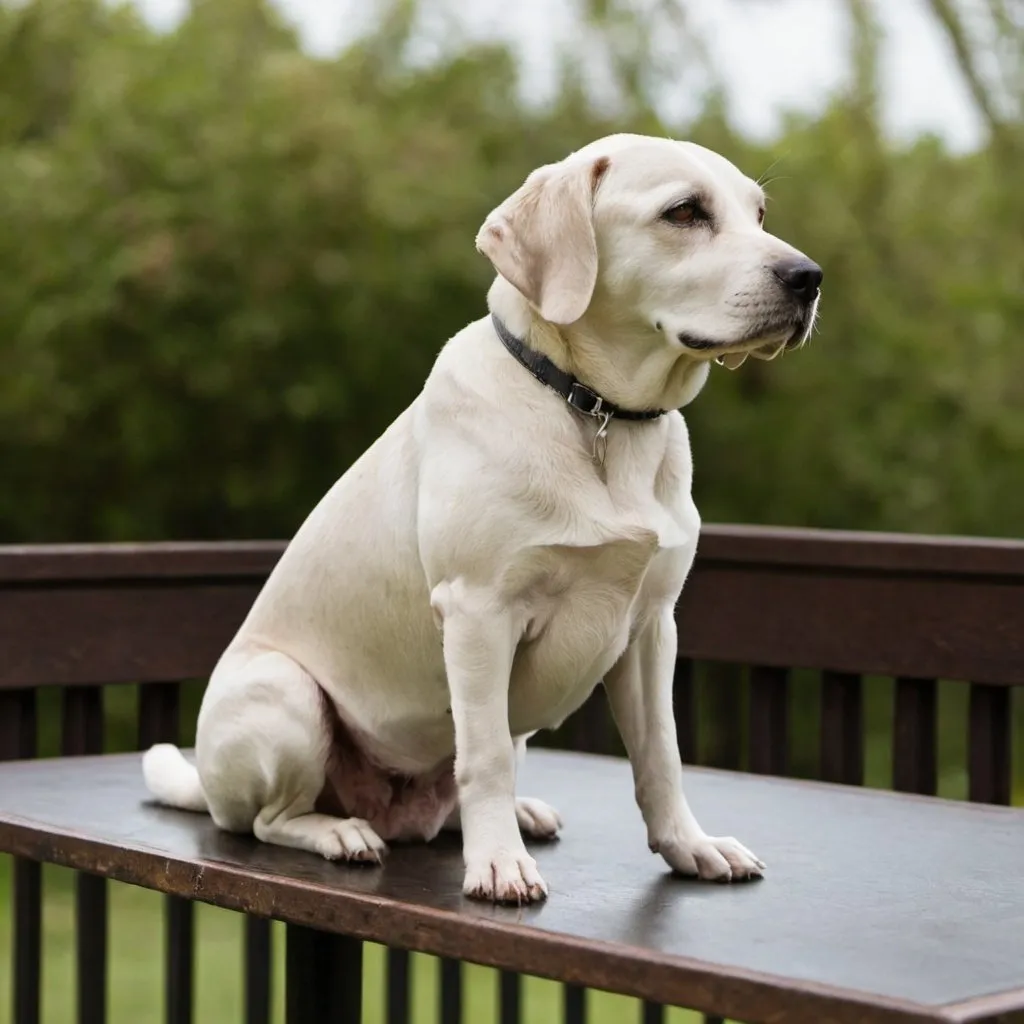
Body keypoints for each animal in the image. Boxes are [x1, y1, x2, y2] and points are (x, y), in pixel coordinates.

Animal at [140, 130, 819, 905]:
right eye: (684, 211)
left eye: (759, 213)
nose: (808, 277)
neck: (595, 413)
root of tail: (206, 784)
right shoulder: (478, 612)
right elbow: (486, 754)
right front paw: (498, 867)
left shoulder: (651, 628)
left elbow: (660, 756)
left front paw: (690, 846)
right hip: (285, 696)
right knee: (266, 821)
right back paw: (343, 832)